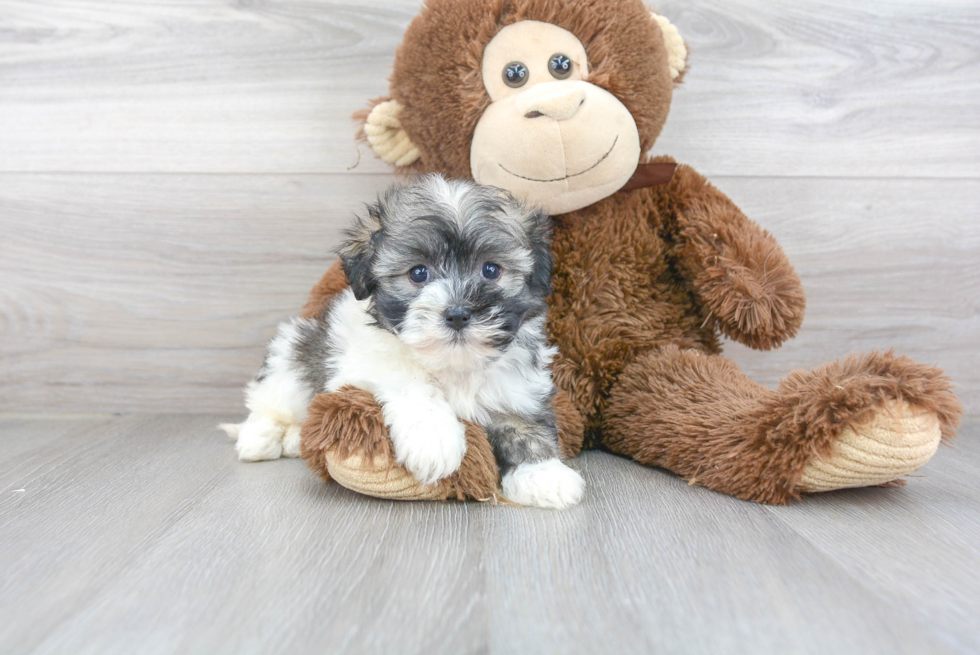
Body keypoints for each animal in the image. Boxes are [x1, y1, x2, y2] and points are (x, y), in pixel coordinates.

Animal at [222, 177, 584, 510]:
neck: (453, 364)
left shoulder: (517, 386)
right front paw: (434, 439)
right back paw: (260, 438)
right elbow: (413, 384)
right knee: (268, 402)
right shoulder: (362, 365)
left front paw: (542, 474)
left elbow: (525, 425)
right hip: (291, 359)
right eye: (418, 273)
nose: (457, 313)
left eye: (491, 270)